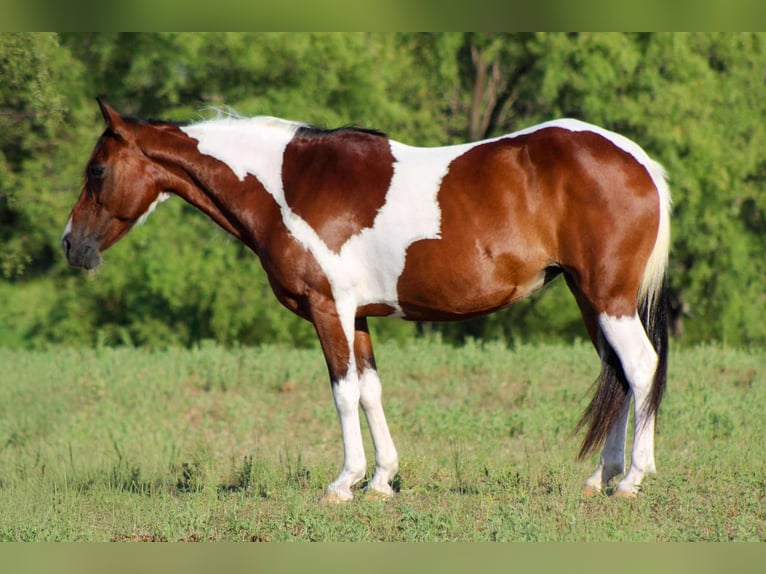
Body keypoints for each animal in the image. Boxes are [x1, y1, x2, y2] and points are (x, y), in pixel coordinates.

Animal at [62, 99, 671, 501]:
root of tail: (638, 160)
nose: (71, 245)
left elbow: (343, 393)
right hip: (588, 298)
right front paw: (381, 480)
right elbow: (372, 391)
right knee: (618, 373)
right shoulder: (357, 317)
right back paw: (600, 477)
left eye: (97, 170)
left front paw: (344, 482)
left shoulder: (328, 309)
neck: (287, 186)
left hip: (607, 298)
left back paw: (633, 479)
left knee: (641, 367)